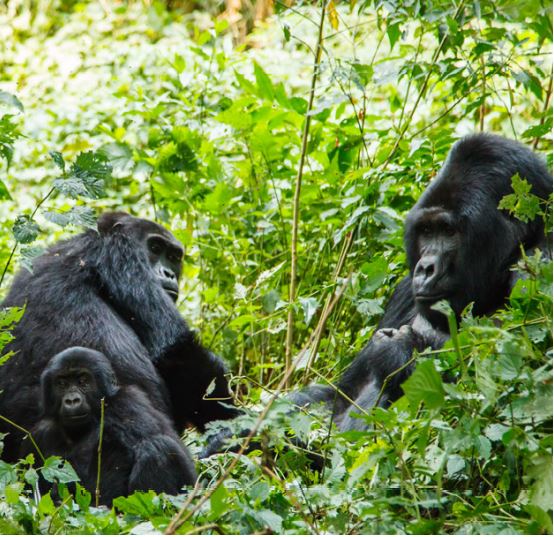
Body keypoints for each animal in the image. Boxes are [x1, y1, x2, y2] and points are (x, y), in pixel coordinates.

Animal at [0, 211, 237, 458]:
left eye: (173, 256)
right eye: (154, 247)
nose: (169, 273)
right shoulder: (122, 254)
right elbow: (177, 349)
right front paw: (234, 428)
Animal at [22, 346, 197, 504]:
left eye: (83, 381)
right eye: (62, 383)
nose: (72, 400)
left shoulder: (126, 403)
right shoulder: (39, 434)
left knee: (157, 448)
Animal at [288, 134, 548, 432]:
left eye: (448, 231)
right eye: (426, 230)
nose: (425, 268)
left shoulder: (539, 263)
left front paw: (400, 351)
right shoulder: (403, 292)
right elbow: (338, 397)